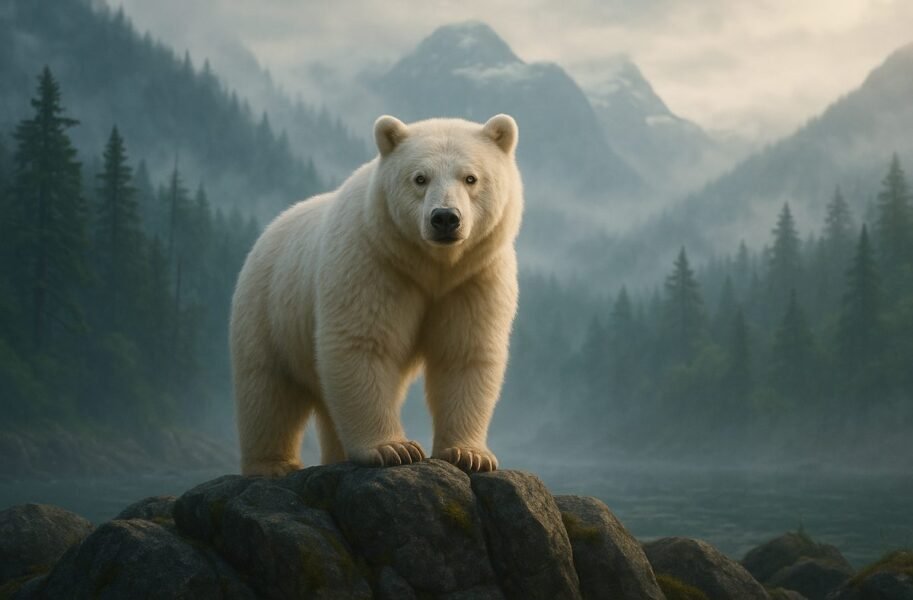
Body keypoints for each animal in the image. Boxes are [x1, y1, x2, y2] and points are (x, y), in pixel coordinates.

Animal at [229, 114, 523, 477]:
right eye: (420, 178)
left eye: (471, 178)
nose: (445, 218)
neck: (432, 266)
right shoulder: (372, 262)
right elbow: (363, 343)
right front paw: (394, 448)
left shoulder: (474, 277)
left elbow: (464, 351)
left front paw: (469, 454)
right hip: (267, 308)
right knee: (268, 389)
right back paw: (273, 464)